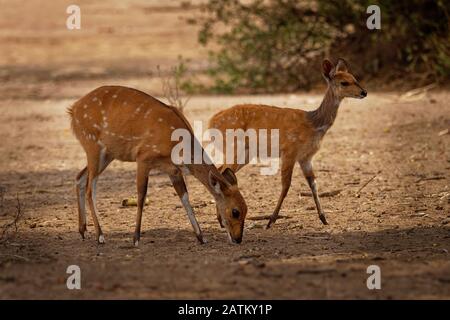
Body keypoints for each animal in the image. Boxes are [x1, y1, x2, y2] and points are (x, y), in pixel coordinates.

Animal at [68, 85, 248, 245]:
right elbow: (141, 196)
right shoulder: (143, 158)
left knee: (79, 177)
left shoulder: (173, 169)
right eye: (235, 212)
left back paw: (83, 231)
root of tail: (73, 110)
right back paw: (100, 236)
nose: (238, 239)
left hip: (107, 154)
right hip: (92, 145)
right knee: (91, 188)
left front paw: (201, 237)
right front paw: (136, 239)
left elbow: (184, 197)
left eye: (246, 209)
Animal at [209, 57, 368, 228]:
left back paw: (221, 220)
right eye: (344, 82)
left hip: (245, 153)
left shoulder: (306, 157)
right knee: (221, 172)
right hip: (233, 147)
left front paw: (324, 218)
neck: (314, 124)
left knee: (221, 171)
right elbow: (286, 186)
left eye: (355, 78)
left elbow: (313, 183)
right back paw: (222, 220)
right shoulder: (289, 152)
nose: (364, 92)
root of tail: (211, 122)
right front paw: (270, 220)